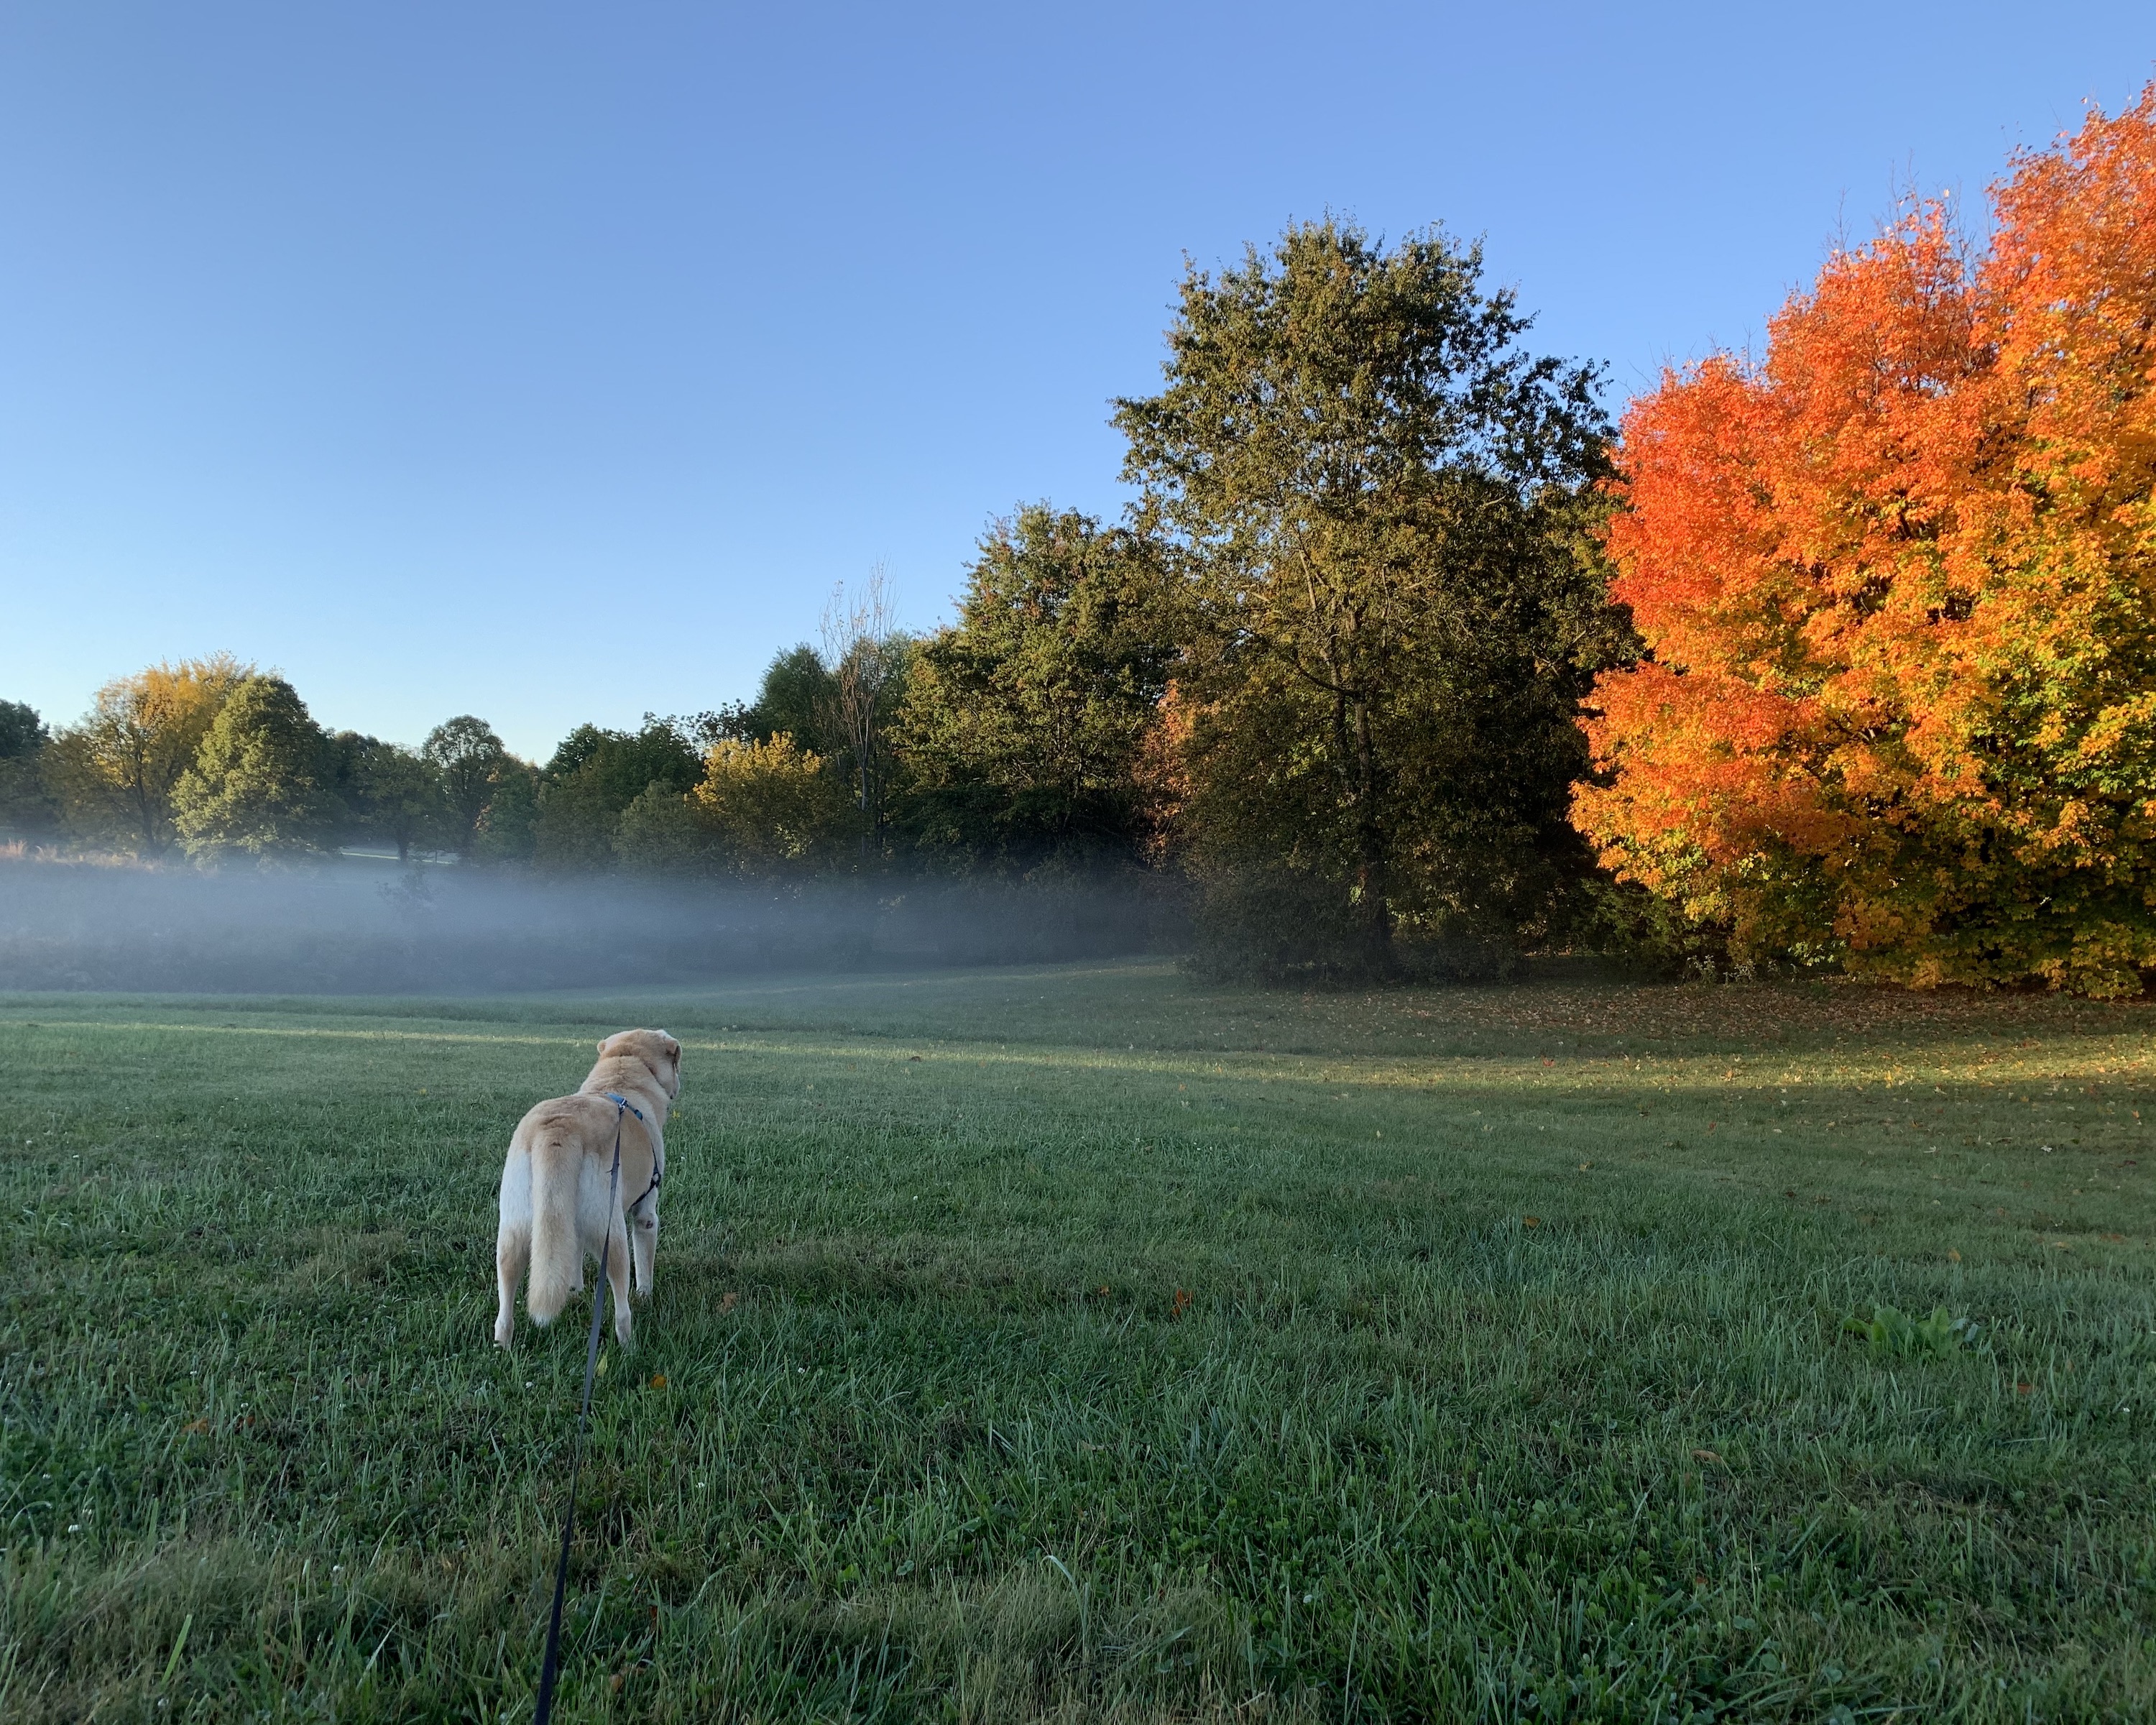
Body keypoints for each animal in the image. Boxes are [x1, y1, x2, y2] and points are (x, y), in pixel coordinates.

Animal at [496, 1026, 681, 1346]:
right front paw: (646, 1297)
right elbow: (645, 1267)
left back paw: (502, 1346)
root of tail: (559, 1130)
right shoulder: (645, 1214)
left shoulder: (569, 1222)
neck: (623, 1067)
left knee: (505, 1302)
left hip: (513, 1232)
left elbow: (572, 1256)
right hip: (611, 1234)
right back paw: (628, 1345)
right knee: (620, 1302)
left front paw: (574, 1291)